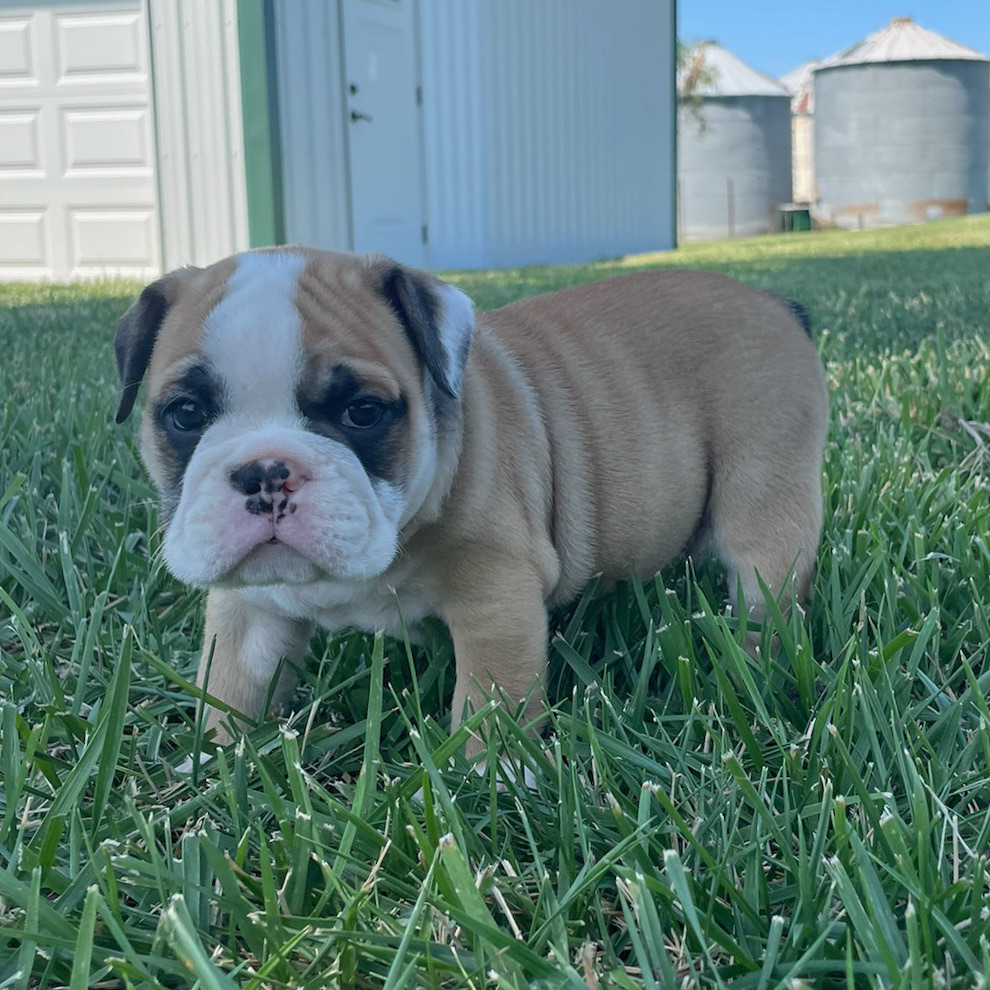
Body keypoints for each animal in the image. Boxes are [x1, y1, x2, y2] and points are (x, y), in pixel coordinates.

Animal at [114, 248, 828, 751]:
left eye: (363, 411)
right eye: (185, 414)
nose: (266, 471)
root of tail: (774, 303)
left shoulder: (496, 596)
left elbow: (490, 701)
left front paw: (487, 779)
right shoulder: (248, 611)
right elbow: (232, 685)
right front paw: (214, 763)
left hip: (764, 494)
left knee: (765, 585)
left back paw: (755, 666)